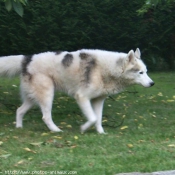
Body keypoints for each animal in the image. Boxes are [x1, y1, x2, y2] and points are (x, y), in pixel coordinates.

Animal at [0, 47, 153, 133]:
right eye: (140, 73)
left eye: (146, 71)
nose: (152, 83)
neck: (107, 69)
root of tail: (27, 59)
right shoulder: (82, 97)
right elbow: (92, 118)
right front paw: (83, 129)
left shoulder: (98, 101)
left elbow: (98, 118)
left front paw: (101, 133)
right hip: (47, 96)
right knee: (46, 117)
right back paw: (56, 130)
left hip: (33, 99)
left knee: (19, 110)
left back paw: (19, 128)